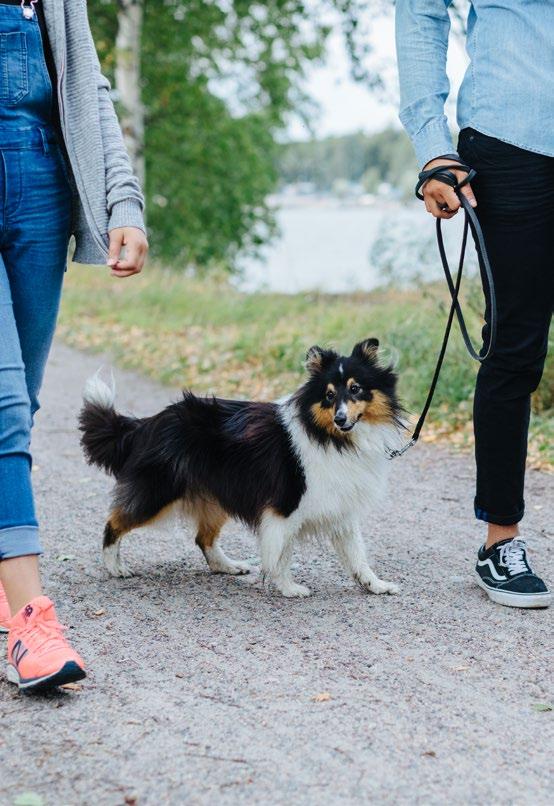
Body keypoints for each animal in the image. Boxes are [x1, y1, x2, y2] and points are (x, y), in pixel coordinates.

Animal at [78, 340, 402, 600]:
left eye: (356, 389)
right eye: (329, 395)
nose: (340, 419)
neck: (331, 436)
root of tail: (147, 424)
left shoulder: (341, 508)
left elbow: (357, 555)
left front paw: (376, 585)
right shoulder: (284, 508)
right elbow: (281, 554)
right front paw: (288, 587)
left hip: (214, 494)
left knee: (203, 539)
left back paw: (229, 566)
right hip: (158, 492)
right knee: (113, 523)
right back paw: (115, 567)